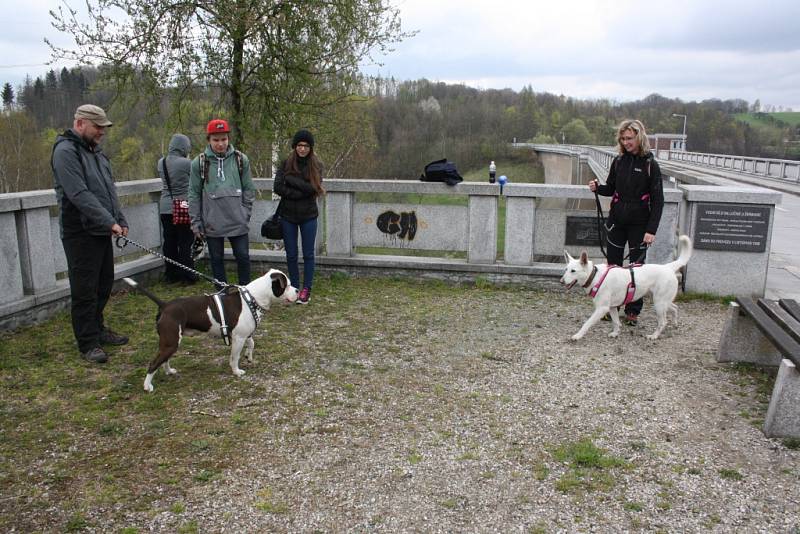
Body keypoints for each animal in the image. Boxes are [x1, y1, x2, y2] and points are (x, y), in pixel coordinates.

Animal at [123, 272, 298, 394]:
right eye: (287, 285)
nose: (297, 290)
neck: (252, 298)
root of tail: (165, 305)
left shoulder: (244, 334)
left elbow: (252, 343)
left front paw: (249, 356)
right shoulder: (238, 338)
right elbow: (234, 357)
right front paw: (236, 371)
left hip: (170, 342)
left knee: (164, 359)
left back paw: (169, 371)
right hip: (171, 342)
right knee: (153, 363)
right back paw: (147, 386)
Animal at [560, 236, 692, 344]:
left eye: (573, 271)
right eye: (566, 269)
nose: (561, 281)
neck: (595, 276)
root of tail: (667, 267)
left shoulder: (601, 309)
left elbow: (586, 323)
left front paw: (577, 336)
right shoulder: (612, 307)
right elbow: (616, 322)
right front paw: (615, 333)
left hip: (659, 304)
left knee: (663, 322)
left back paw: (654, 336)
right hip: (662, 302)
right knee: (675, 308)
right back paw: (675, 324)